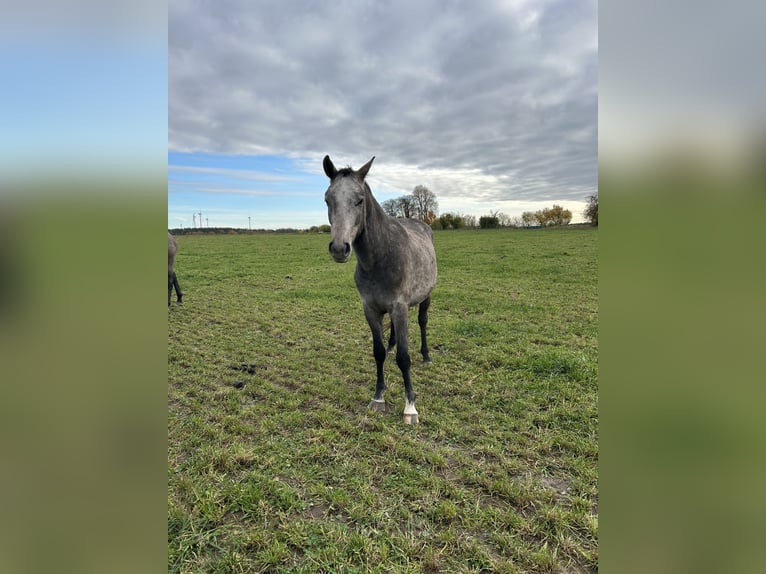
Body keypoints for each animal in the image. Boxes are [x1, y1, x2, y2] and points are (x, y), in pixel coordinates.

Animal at [323, 155, 437, 424]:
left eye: (359, 200)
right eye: (327, 199)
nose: (339, 248)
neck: (381, 256)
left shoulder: (400, 307)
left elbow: (404, 359)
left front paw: (410, 407)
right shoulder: (371, 309)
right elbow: (379, 352)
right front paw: (378, 398)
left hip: (425, 297)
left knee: (423, 322)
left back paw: (426, 356)